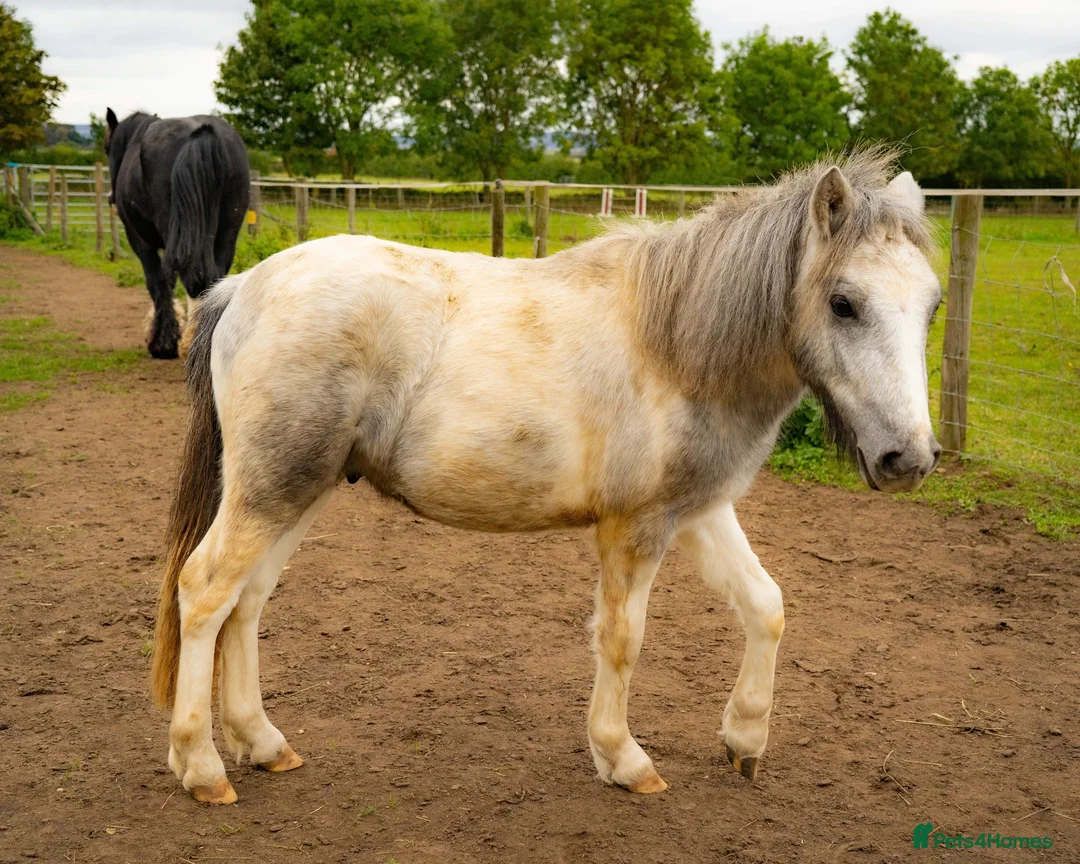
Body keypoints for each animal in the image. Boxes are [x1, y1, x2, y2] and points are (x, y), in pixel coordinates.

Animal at [104, 108, 250, 359]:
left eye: (106, 148)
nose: (110, 198)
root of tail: (203, 132)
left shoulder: (140, 240)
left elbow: (158, 281)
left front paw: (162, 342)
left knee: (191, 277)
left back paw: (189, 343)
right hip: (226, 232)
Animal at [149, 150, 942, 805]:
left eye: (932, 305)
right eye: (843, 302)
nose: (909, 458)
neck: (675, 344)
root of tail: (241, 287)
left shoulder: (699, 511)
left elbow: (766, 605)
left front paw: (745, 738)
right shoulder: (635, 527)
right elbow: (622, 638)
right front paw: (622, 758)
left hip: (297, 490)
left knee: (246, 602)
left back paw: (261, 742)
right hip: (270, 489)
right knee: (206, 590)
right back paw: (201, 766)